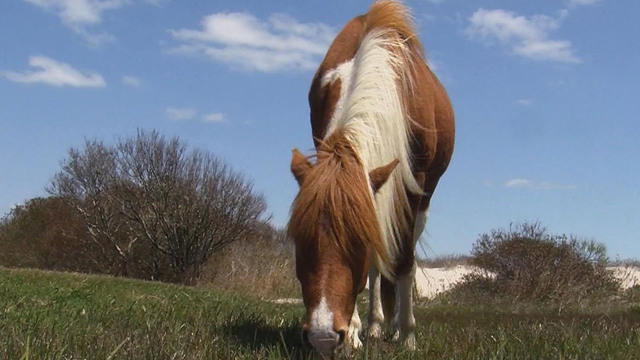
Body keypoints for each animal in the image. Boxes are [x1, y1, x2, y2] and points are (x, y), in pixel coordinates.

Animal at [288, 0, 452, 354]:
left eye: (358, 244)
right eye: (300, 240)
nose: (323, 336)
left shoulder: (413, 185)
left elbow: (403, 261)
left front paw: (407, 336)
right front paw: (353, 331)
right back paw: (376, 325)